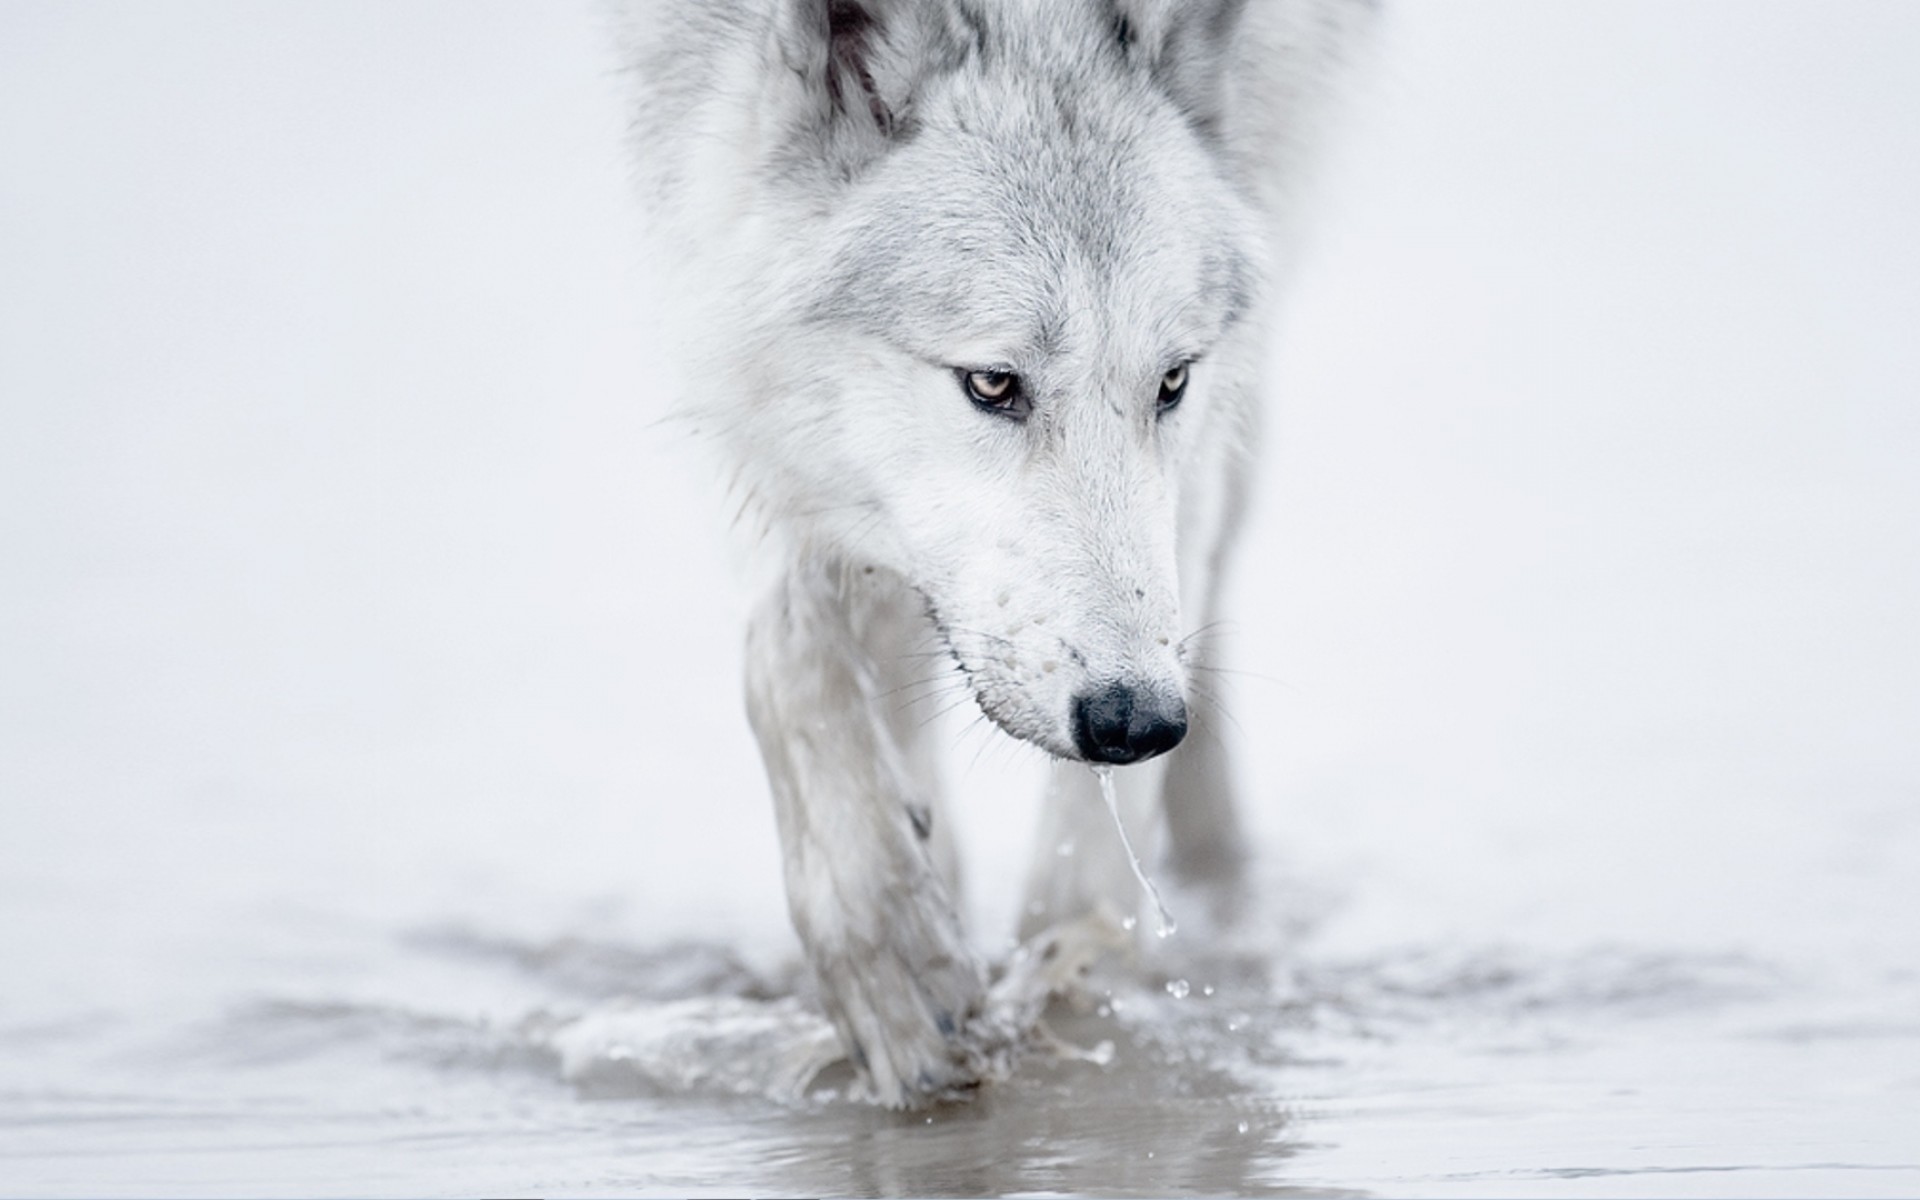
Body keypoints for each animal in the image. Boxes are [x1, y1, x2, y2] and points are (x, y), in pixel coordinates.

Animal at [615, 0, 1374, 1108]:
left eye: (1172, 382)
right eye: (992, 383)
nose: (1138, 720)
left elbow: (1089, 852)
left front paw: (1069, 985)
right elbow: (788, 649)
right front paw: (895, 957)